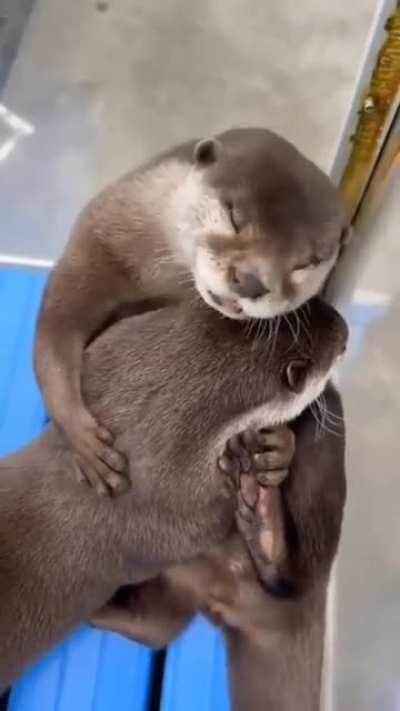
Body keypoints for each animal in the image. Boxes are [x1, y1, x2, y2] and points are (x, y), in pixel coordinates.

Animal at [34, 127, 349, 493]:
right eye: (233, 216)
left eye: (306, 264)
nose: (251, 282)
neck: (157, 278)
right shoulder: (102, 236)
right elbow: (58, 325)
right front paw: (83, 439)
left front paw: (279, 448)